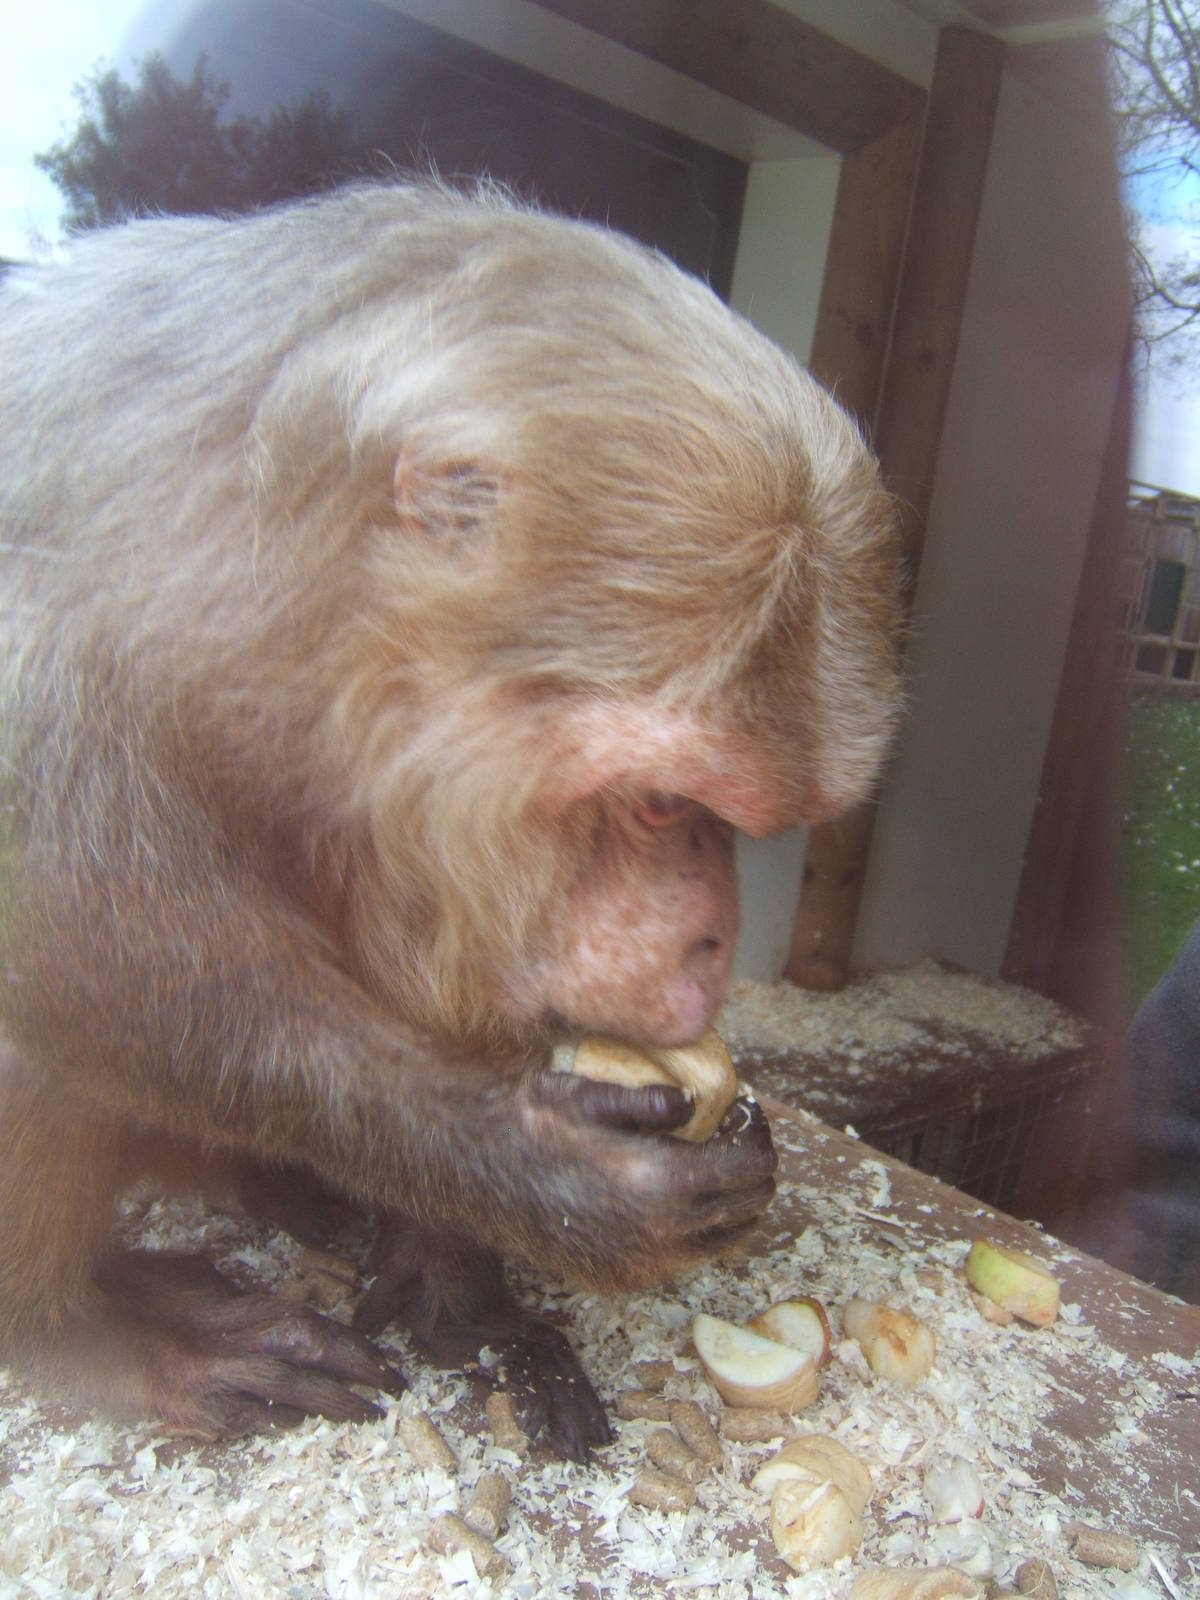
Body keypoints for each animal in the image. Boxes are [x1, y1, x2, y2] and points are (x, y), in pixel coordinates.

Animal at [0, 182, 902, 1459]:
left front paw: (462, 1287)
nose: (713, 935)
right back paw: (73, 1325)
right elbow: (75, 942)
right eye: (662, 802)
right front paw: (541, 1176)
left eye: (737, 820)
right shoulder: (74, 611)